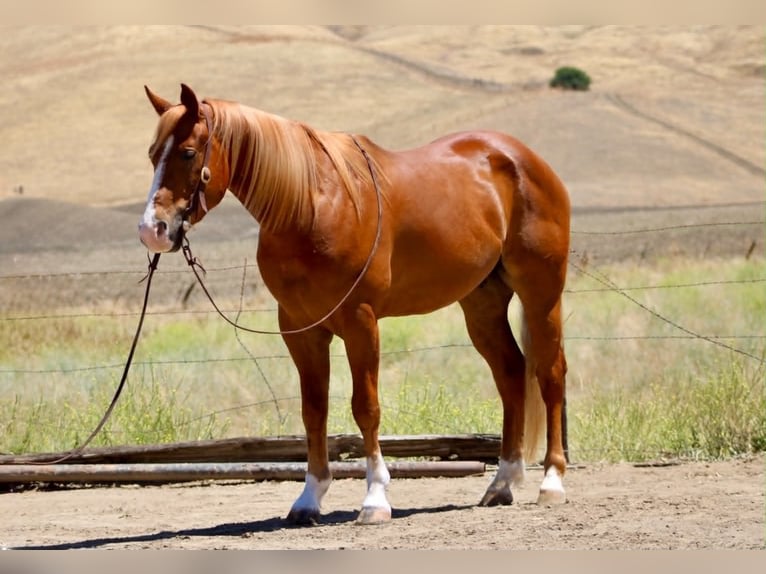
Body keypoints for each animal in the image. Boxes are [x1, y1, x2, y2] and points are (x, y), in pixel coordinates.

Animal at [139, 84, 570, 525]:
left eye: (188, 152)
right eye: (153, 154)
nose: (152, 230)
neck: (310, 205)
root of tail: (522, 158)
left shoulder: (361, 321)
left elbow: (366, 407)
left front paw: (376, 499)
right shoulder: (301, 330)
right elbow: (314, 410)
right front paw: (308, 499)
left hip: (542, 292)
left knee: (550, 373)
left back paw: (551, 482)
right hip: (482, 303)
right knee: (511, 374)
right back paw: (502, 482)